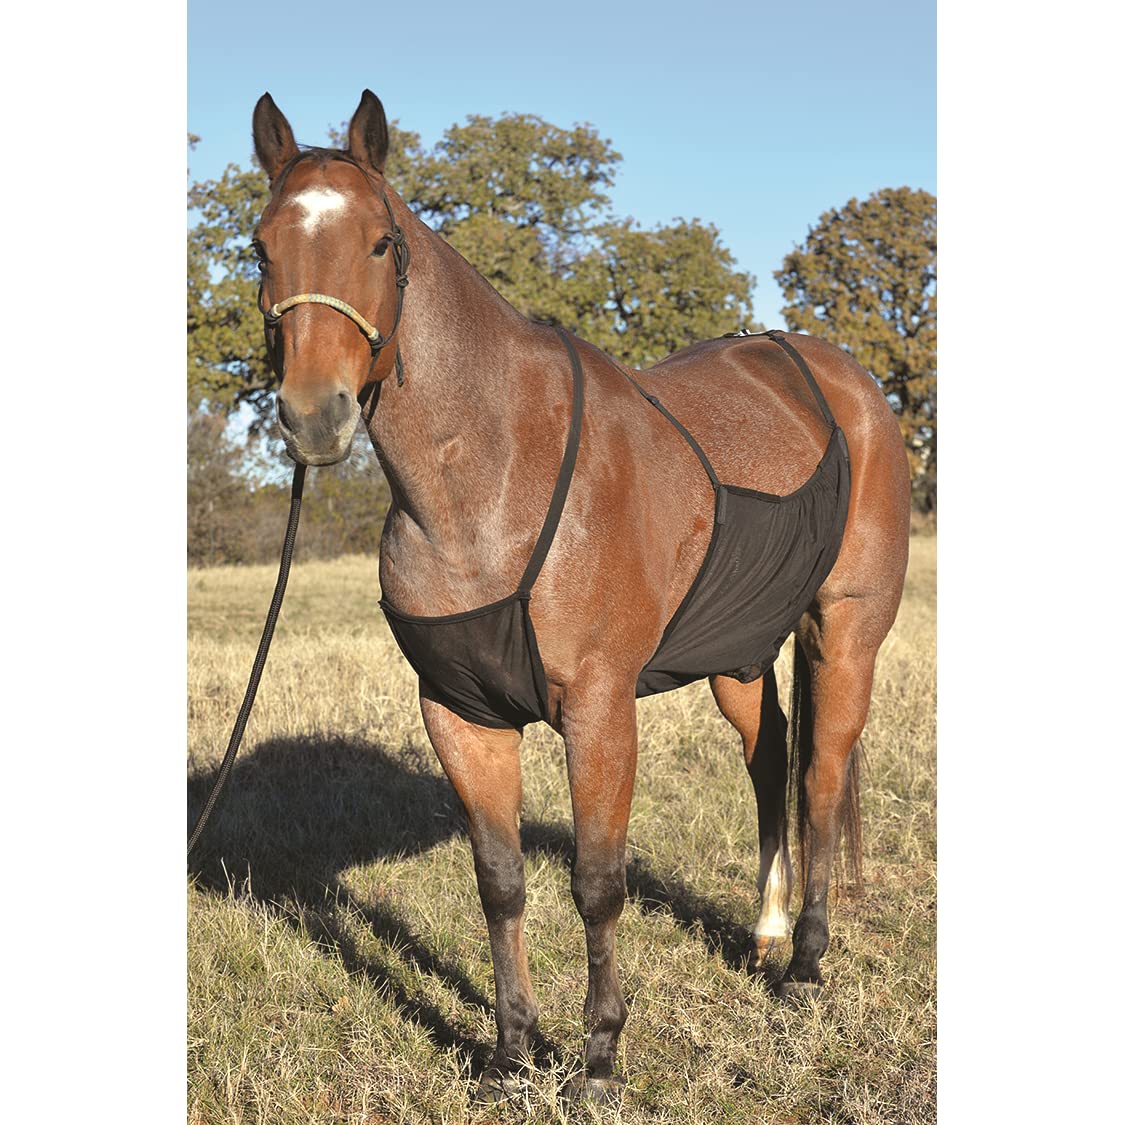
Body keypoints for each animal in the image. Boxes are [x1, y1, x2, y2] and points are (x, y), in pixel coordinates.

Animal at [247, 89, 911, 1103]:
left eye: (381, 242)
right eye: (259, 247)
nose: (313, 415)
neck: (488, 480)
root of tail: (848, 383)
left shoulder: (599, 710)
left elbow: (597, 884)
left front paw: (597, 1061)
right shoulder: (461, 712)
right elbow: (500, 880)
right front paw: (511, 1055)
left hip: (846, 633)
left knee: (820, 778)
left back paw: (803, 963)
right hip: (737, 654)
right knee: (769, 762)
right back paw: (761, 933)